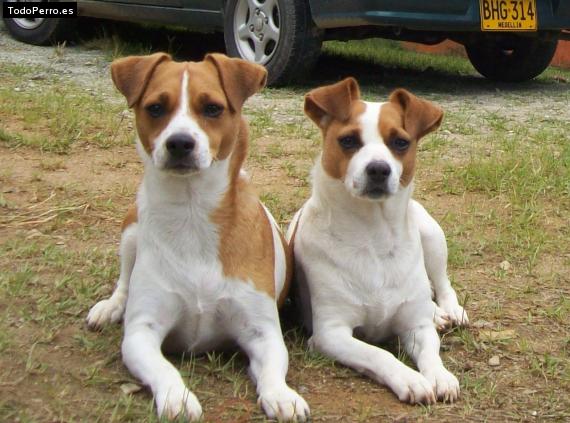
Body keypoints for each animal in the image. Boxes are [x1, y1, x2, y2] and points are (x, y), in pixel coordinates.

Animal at [85, 54, 308, 422]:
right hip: (132, 229)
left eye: (213, 108)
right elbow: (163, 368)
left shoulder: (263, 333)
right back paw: (109, 307)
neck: (192, 212)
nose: (179, 142)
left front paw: (281, 395)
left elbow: (274, 370)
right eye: (156, 107)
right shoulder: (141, 334)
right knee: (124, 281)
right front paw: (177, 396)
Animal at [286, 78, 468, 406]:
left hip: (432, 237)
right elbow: (378, 354)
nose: (379, 169)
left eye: (400, 142)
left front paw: (440, 375)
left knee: (441, 283)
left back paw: (447, 310)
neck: (373, 237)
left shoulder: (416, 326)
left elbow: (431, 353)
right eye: (348, 141)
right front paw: (410, 379)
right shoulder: (332, 333)